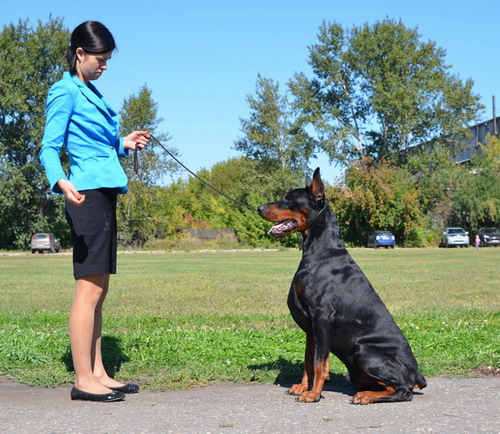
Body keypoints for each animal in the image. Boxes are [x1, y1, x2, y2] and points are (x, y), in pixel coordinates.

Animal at [258, 169, 426, 404]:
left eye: (289, 199)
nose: (259, 208)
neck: (320, 251)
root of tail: (416, 373)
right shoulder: (311, 325)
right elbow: (308, 361)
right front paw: (302, 387)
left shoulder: (322, 316)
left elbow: (320, 364)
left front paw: (314, 394)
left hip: (363, 349)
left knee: (404, 391)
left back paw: (365, 396)